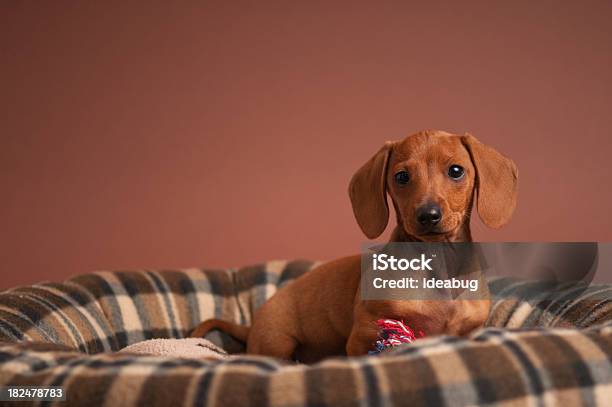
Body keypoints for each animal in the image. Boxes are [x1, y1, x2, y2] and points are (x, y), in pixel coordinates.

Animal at [191, 131, 516, 364]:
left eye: (456, 171)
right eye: (401, 176)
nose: (428, 215)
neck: (438, 265)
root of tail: (253, 324)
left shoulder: (469, 330)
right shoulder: (365, 334)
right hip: (277, 341)